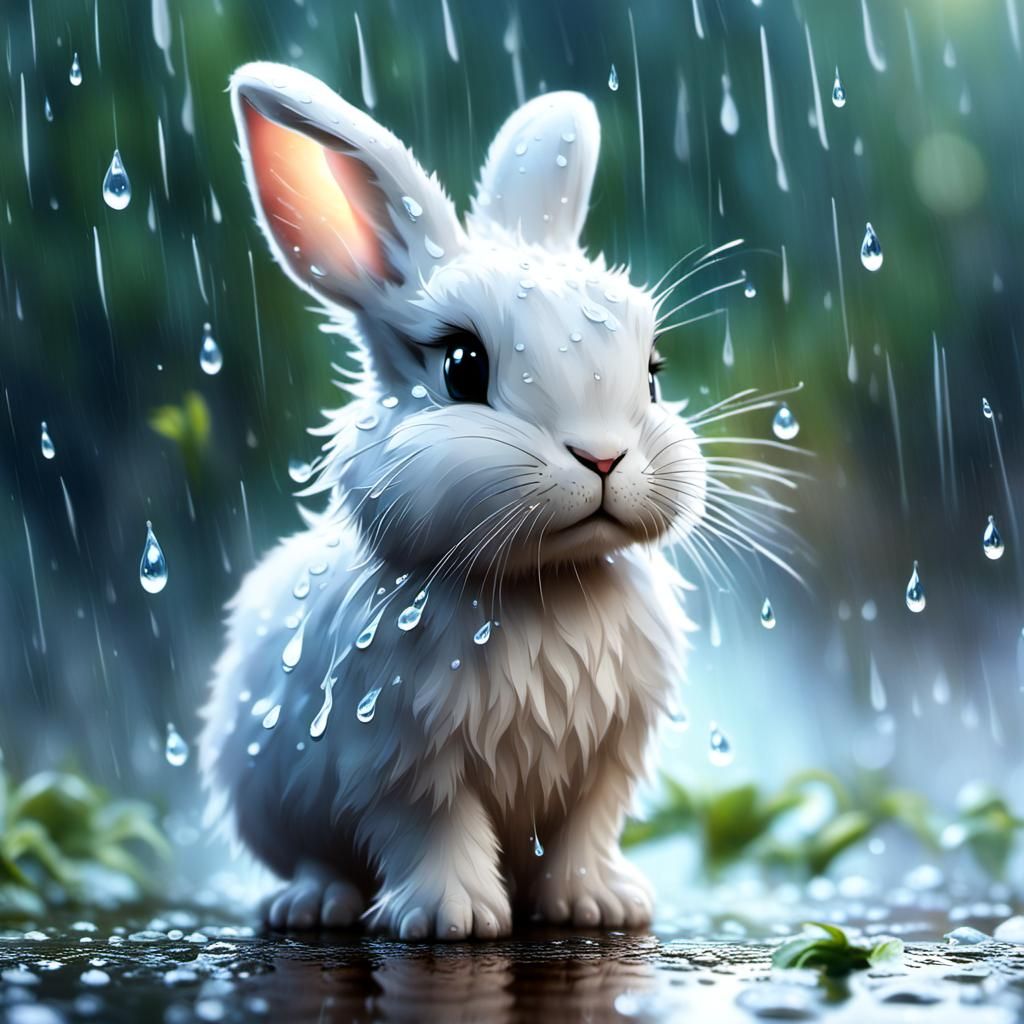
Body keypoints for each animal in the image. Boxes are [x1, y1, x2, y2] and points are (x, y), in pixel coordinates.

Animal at [199, 61, 706, 941]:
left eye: (652, 374)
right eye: (462, 367)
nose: (603, 456)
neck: (543, 584)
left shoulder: (607, 761)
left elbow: (585, 831)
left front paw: (599, 908)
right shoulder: (399, 758)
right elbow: (435, 829)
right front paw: (451, 921)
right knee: (315, 860)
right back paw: (315, 906)